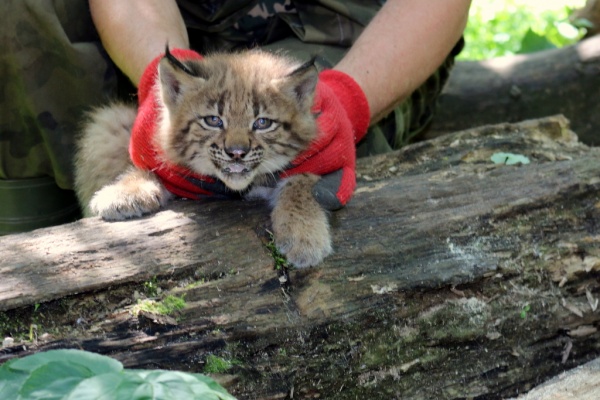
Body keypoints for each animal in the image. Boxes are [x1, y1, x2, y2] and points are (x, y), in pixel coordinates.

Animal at [75, 50, 332, 268]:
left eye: (262, 123)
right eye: (213, 120)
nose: (236, 152)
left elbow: (301, 181)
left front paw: (304, 234)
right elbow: (149, 168)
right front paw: (125, 190)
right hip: (108, 124)